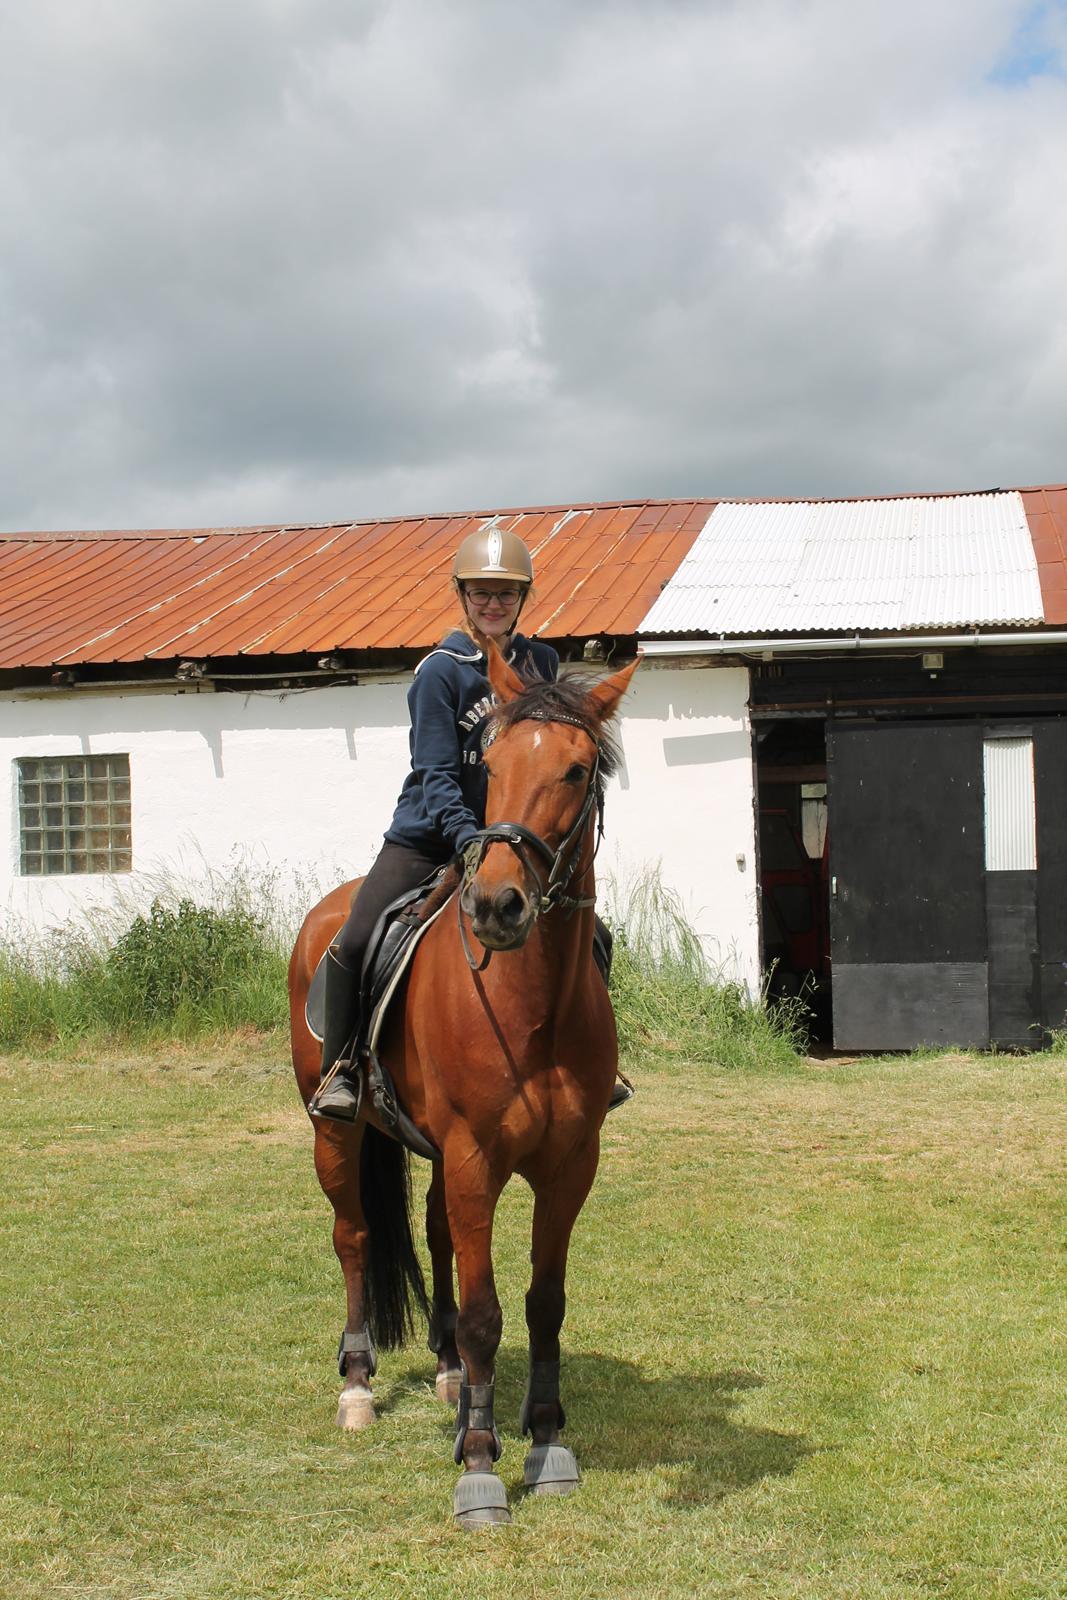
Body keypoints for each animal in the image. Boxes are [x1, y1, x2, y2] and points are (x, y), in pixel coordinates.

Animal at [287, 643, 639, 1516]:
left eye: (576, 770)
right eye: (493, 763)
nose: (496, 907)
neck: (531, 1004)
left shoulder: (567, 1165)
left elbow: (543, 1303)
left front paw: (544, 1440)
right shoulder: (477, 1156)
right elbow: (486, 1313)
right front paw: (480, 1463)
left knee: (438, 1236)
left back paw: (450, 1375)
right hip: (334, 1134)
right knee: (353, 1237)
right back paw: (358, 1385)